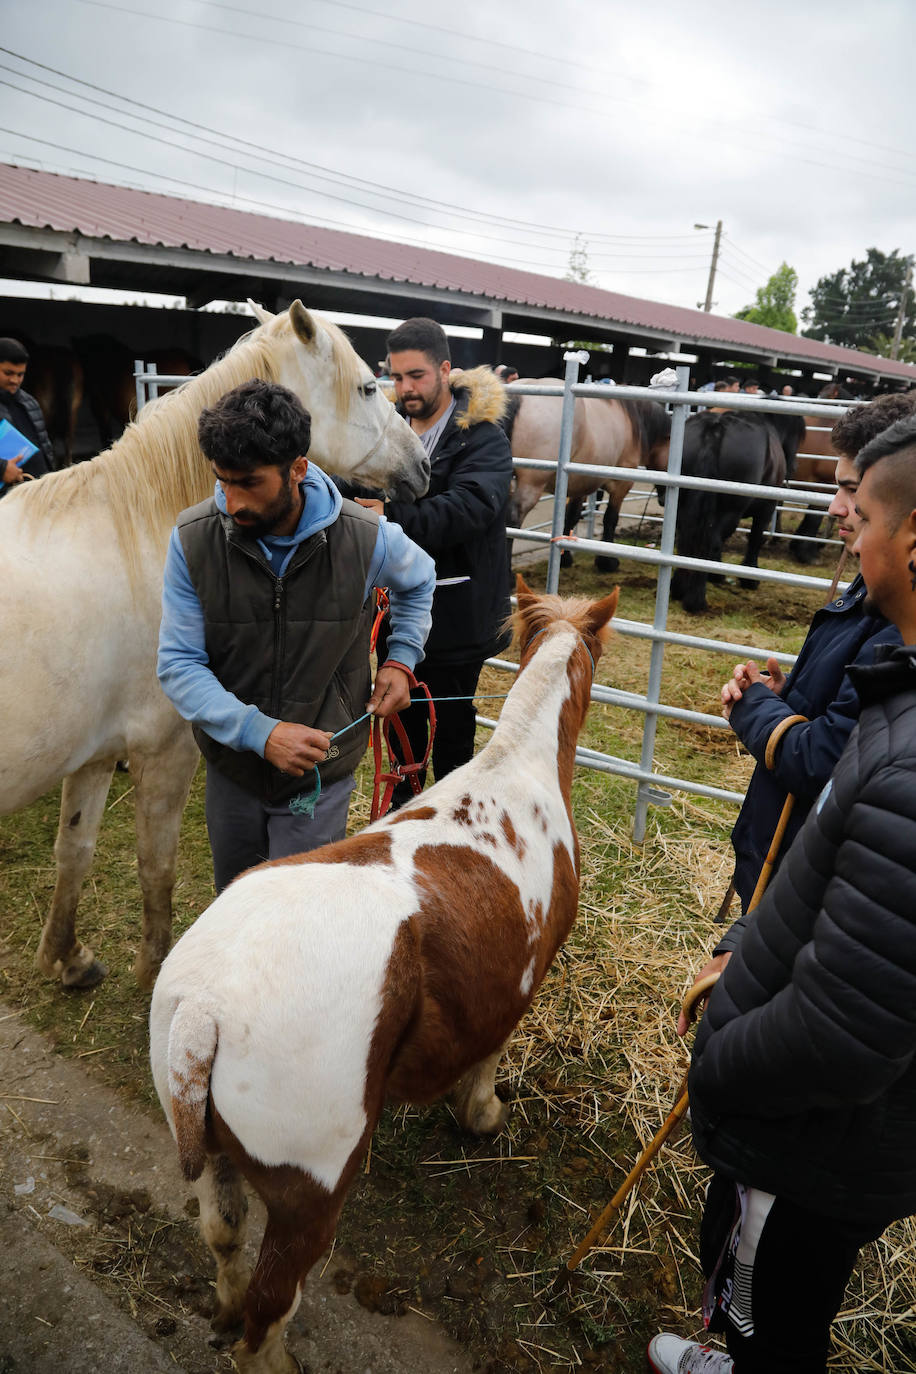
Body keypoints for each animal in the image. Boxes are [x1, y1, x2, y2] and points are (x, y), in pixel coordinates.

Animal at [0, 298, 431, 989]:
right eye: (370, 387)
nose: (422, 465)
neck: (137, 529)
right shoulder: (164, 751)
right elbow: (157, 864)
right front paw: (153, 969)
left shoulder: (94, 756)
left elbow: (75, 850)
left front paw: (68, 958)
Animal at [150, 577, 620, 1374]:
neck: (515, 773)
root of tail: (204, 1011)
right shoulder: (519, 981)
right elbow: (488, 1060)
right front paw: (483, 1116)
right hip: (309, 1197)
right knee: (269, 1312)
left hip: (212, 1157)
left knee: (222, 1238)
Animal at [505, 390, 670, 571]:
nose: (663, 500)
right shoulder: (621, 486)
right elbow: (610, 518)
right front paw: (607, 562)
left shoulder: (579, 484)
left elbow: (571, 516)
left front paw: (565, 558)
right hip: (531, 484)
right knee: (512, 519)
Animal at [672, 409, 791, 615]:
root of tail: (715, 430)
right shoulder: (766, 508)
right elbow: (755, 539)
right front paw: (749, 578)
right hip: (731, 510)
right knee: (711, 541)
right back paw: (696, 600)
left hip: (685, 506)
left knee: (687, 538)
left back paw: (678, 589)